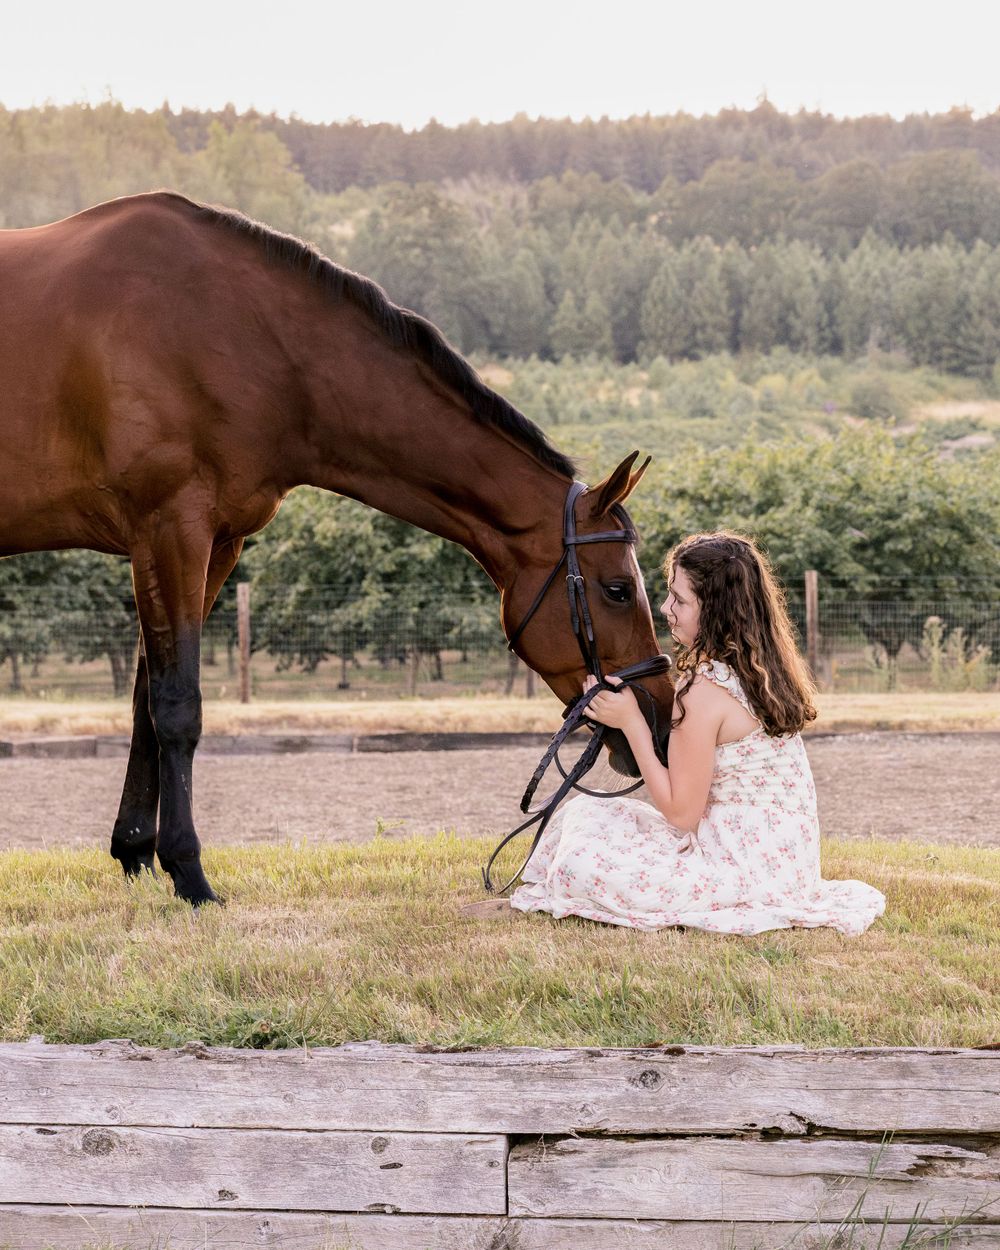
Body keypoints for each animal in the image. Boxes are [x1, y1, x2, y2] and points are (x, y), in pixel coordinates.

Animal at [0, 192, 674, 905]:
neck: (233, 336)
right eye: (617, 589)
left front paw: (133, 851)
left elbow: (143, 703)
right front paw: (189, 872)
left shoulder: (215, 544)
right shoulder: (170, 531)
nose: (660, 723)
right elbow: (178, 706)